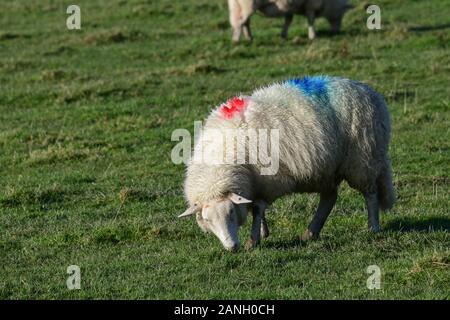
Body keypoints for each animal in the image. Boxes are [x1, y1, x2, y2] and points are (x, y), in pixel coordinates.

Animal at [178, 76, 396, 251]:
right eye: (207, 220)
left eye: (231, 213)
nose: (232, 247)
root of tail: (369, 91)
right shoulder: (255, 182)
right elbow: (255, 208)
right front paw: (263, 232)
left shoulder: (268, 181)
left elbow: (258, 208)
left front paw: (253, 240)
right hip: (328, 168)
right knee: (329, 198)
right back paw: (311, 232)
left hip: (363, 158)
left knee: (370, 193)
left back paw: (373, 227)